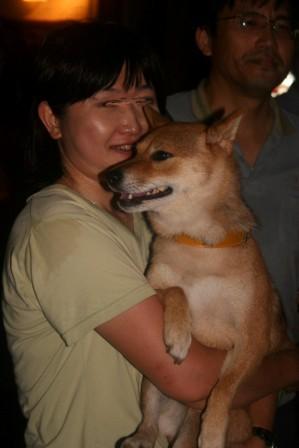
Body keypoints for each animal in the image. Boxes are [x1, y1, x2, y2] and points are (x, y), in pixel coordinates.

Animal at [104, 109, 292, 448]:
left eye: (161, 155)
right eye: (133, 150)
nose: (110, 176)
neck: (196, 242)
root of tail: (174, 423)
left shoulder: (252, 340)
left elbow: (225, 387)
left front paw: (214, 429)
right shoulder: (152, 288)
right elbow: (176, 290)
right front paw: (180, 334)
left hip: (211, 417)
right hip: (152, 385)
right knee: (149, 421)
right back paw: (139, 437)